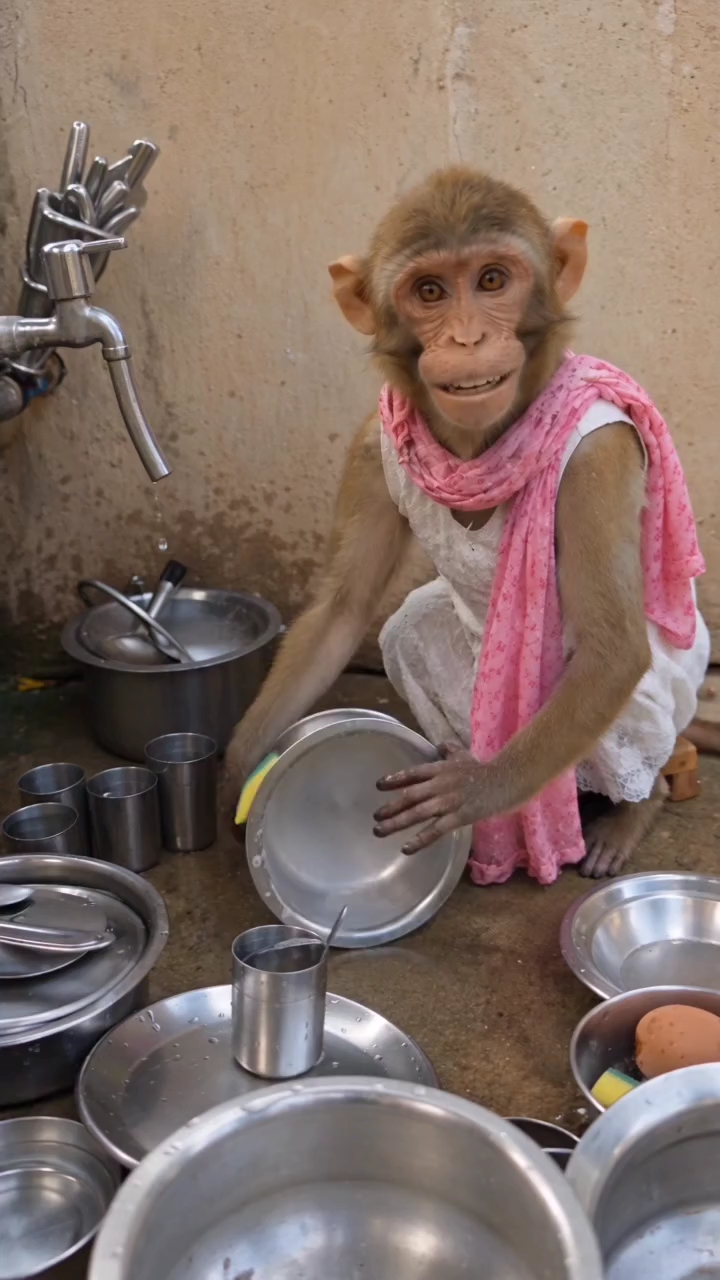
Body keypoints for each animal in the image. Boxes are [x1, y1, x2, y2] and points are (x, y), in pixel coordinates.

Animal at [224, 166, 711, 884]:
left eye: (491, 280)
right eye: (429, 291)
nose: (466, 339)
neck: (484, 445)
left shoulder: (599, 458)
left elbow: (612, 647)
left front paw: (476, 790)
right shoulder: (371, 442)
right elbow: (344, 607)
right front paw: (233, 770)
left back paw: (633, 806)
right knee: (406, 626)